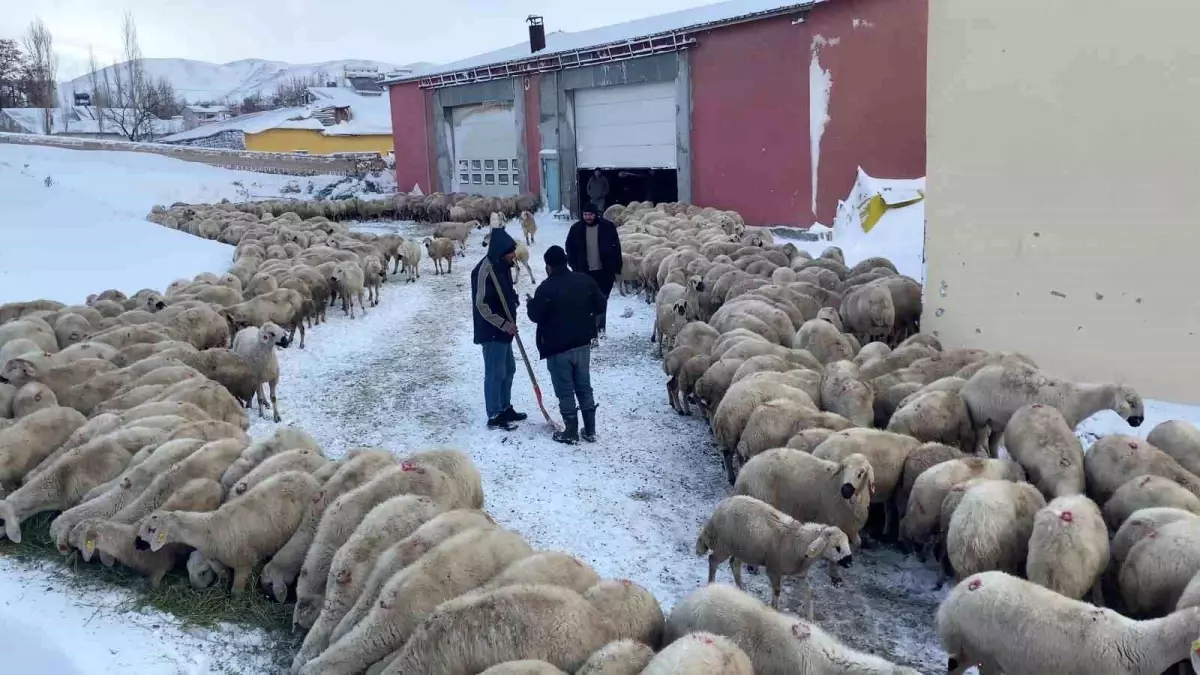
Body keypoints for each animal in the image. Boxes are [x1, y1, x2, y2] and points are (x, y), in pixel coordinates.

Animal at [696, 492, 854, 619]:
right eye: (837, 548)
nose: (850, 563)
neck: (798, 542)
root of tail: (721, 507)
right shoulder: (774, 570)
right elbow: (777, 592)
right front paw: (774, 610)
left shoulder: (800, 573)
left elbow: (810, 592)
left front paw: (810, 618)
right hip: (724, 546)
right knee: (713, 560)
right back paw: (711, 584)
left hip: (743, 549)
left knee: (734, 564)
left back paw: (741, 590)